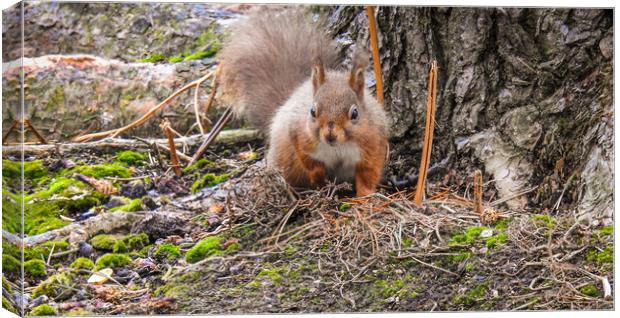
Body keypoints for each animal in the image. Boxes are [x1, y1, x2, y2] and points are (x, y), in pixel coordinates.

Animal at [218, 11, 388, 196]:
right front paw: (318, 178)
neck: (339, 146)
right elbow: (308, 161)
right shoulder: (299, 134)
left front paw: (365, 197)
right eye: (312, 111)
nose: (330, 135)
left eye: (355, 113)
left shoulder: (374, 143)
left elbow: (368, 174)